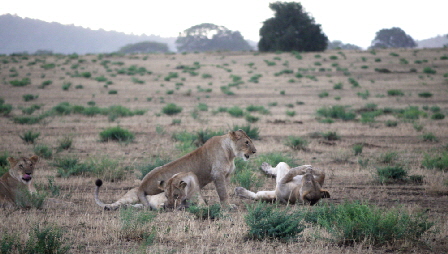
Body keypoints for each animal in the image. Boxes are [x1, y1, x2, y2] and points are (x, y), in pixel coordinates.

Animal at [94, 130, 256, 209]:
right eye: (247, 142)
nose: (255, 151)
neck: (231, 153)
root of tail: (141, 186)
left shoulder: (226, 176)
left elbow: (226, 191)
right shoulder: (218, 175)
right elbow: (223, 193)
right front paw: (228, 206)